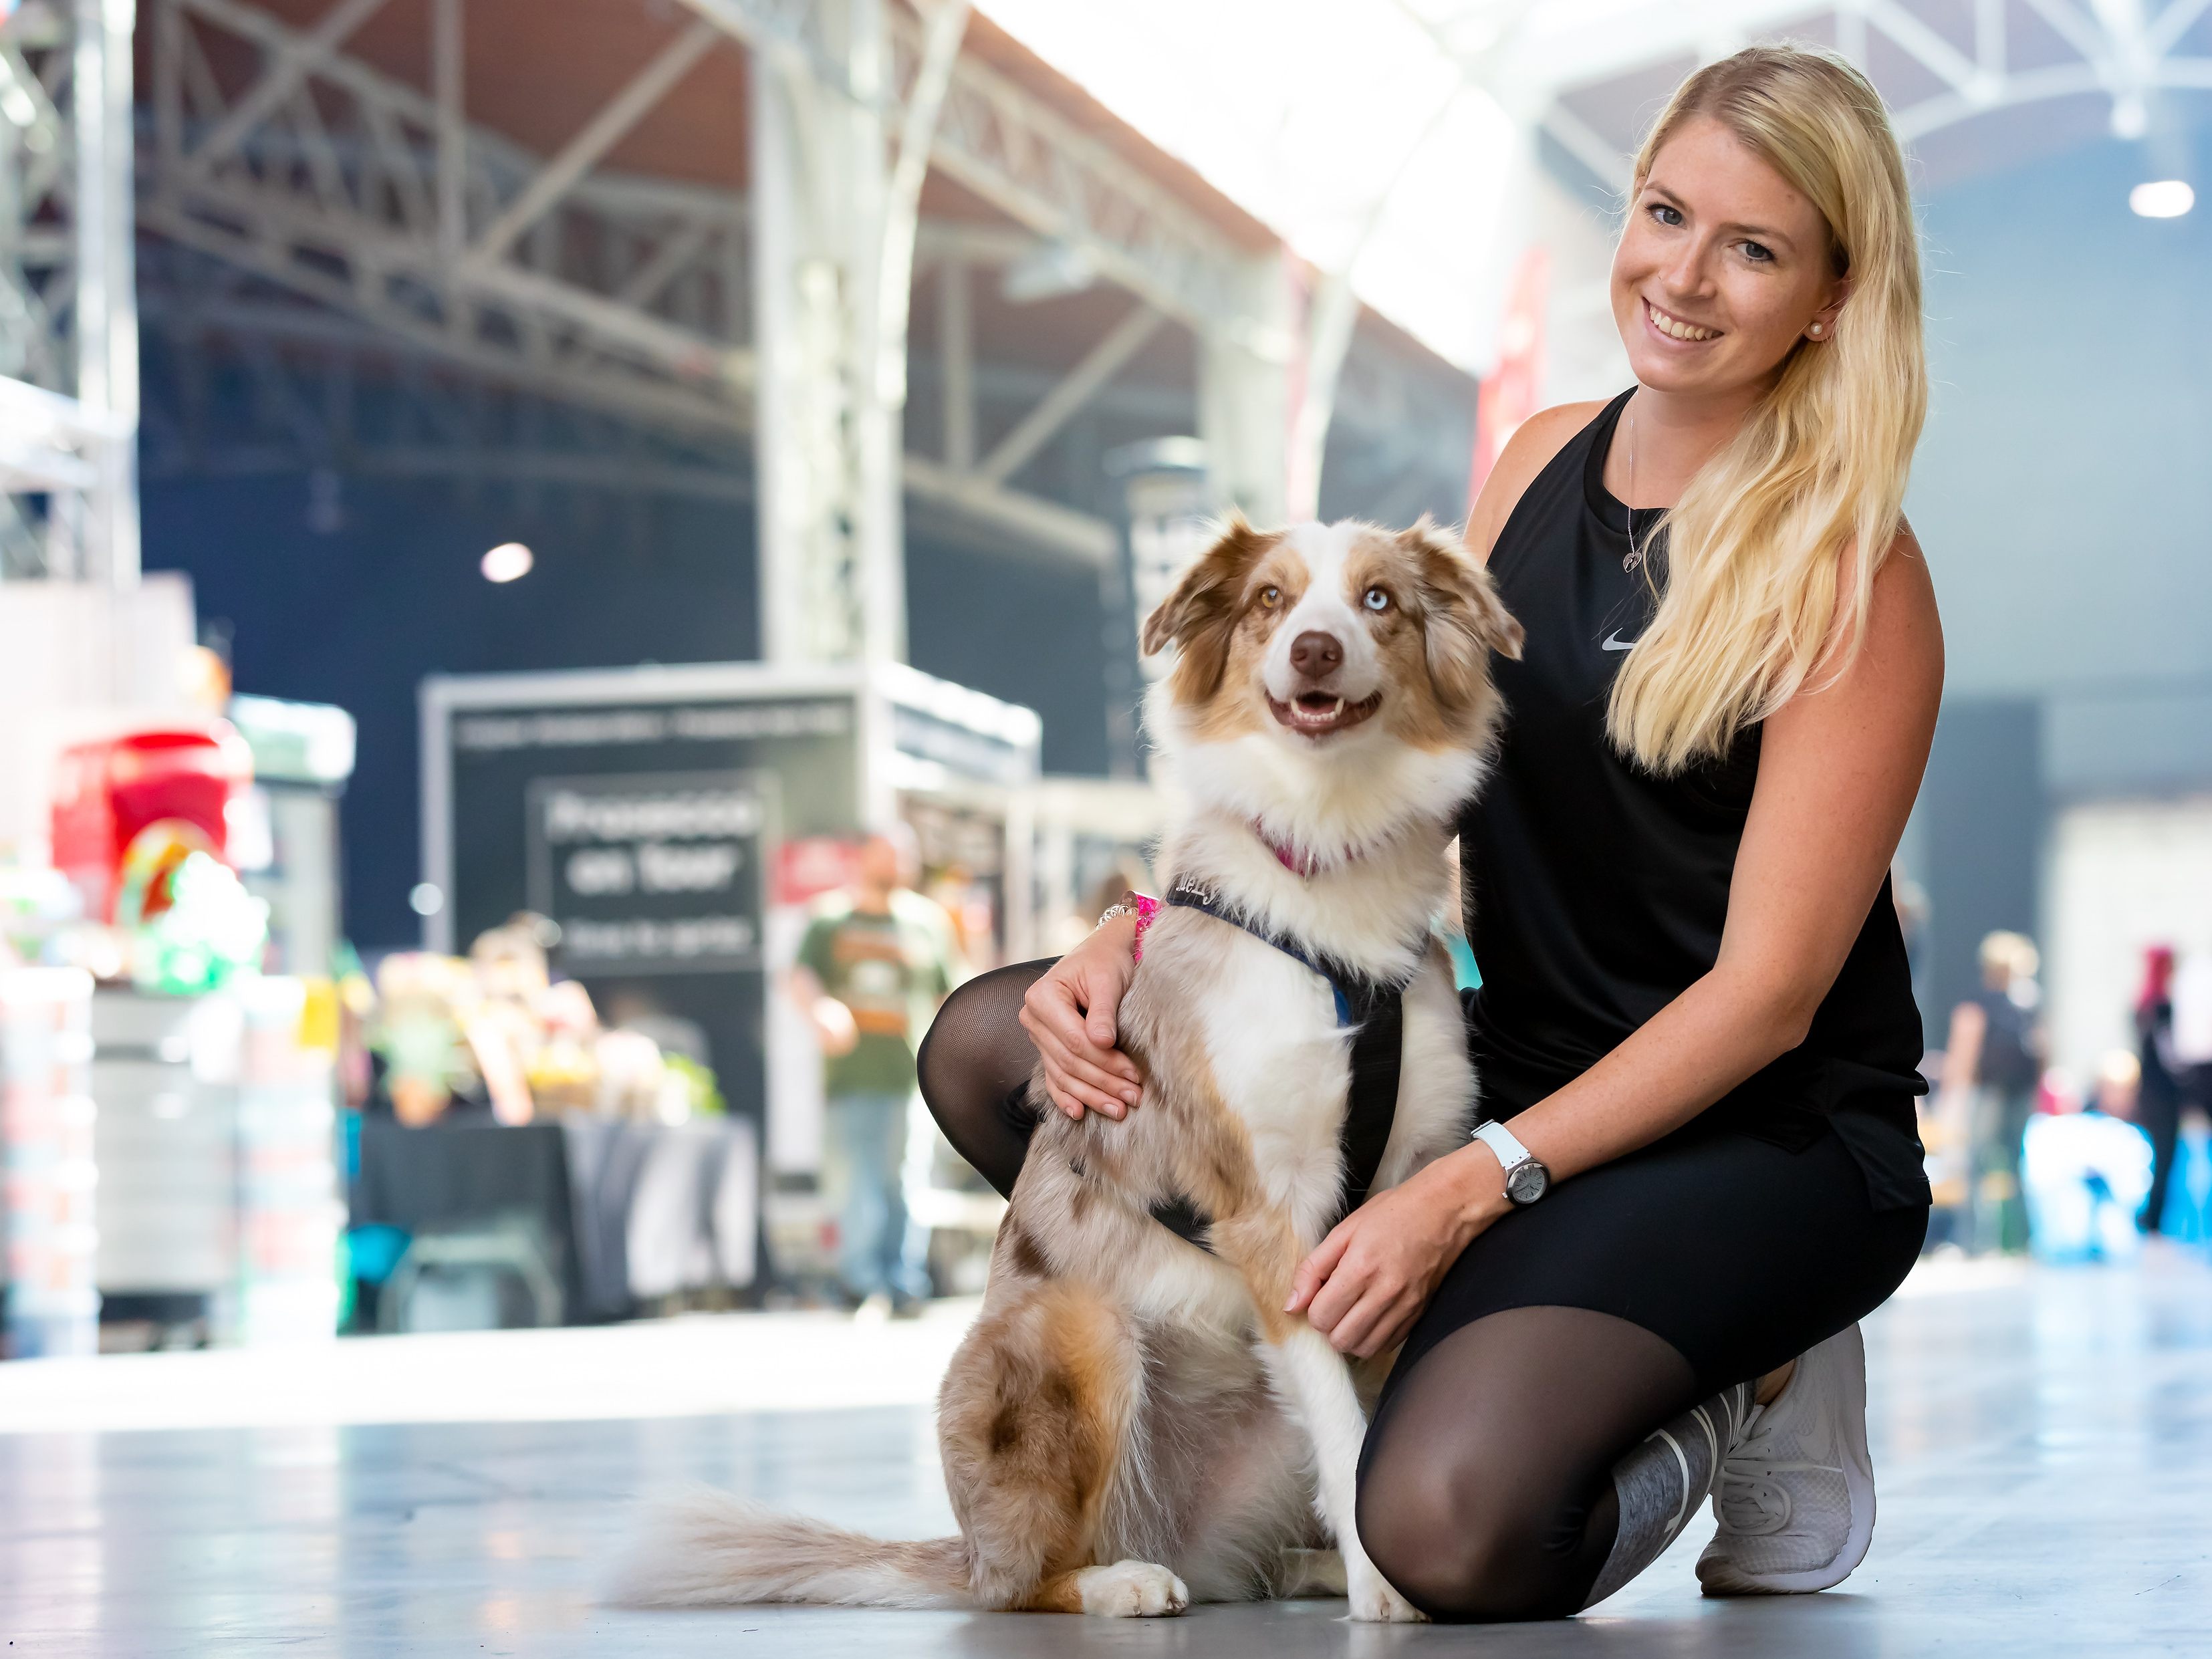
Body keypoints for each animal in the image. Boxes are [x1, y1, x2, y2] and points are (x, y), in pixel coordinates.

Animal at [614, 517, 1530, 1628]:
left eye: (1379, 601)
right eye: (1269, 602)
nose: (1314, 650)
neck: (1324, 865)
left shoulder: (1412, 1189)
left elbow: (1370, 1414)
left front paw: (1377, 1564)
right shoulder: (1264, 1204)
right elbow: (1343, 1418)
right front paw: (1383, 1584)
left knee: (1245, 1554)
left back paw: (1294, 1566)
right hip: (1079, 1330)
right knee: (1022, 1583)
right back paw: (1118, 1578)